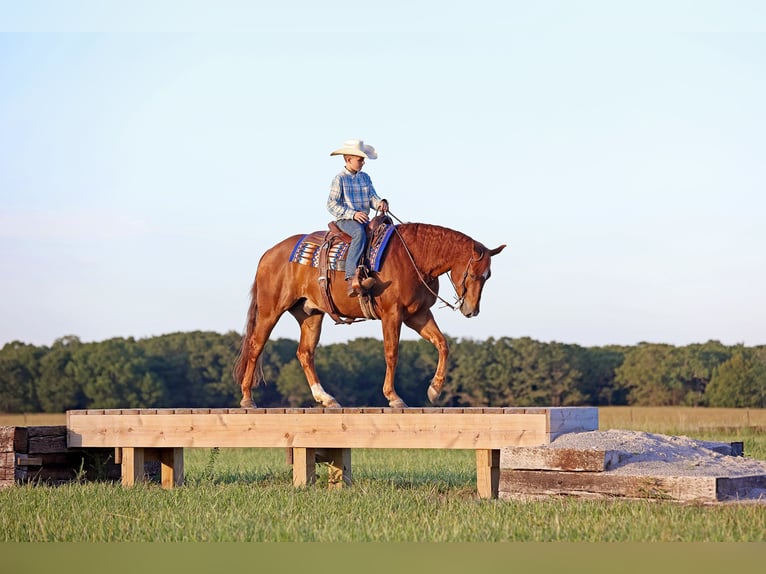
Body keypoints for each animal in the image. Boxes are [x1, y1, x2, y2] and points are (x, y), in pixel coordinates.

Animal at [236, 220, 510, 410]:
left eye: (488, 276)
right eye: (473, 274)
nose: (471, 310)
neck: (414, 259)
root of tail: (269, 254)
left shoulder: (418, 315)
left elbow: (442, 344)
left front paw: (434, 389)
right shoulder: (392, 314)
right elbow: (392, 353)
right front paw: (394, 397)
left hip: (310, 314)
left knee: (305, 353)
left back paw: (326, 398)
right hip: (271, 310)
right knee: (256, 345)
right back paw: (248, 398)